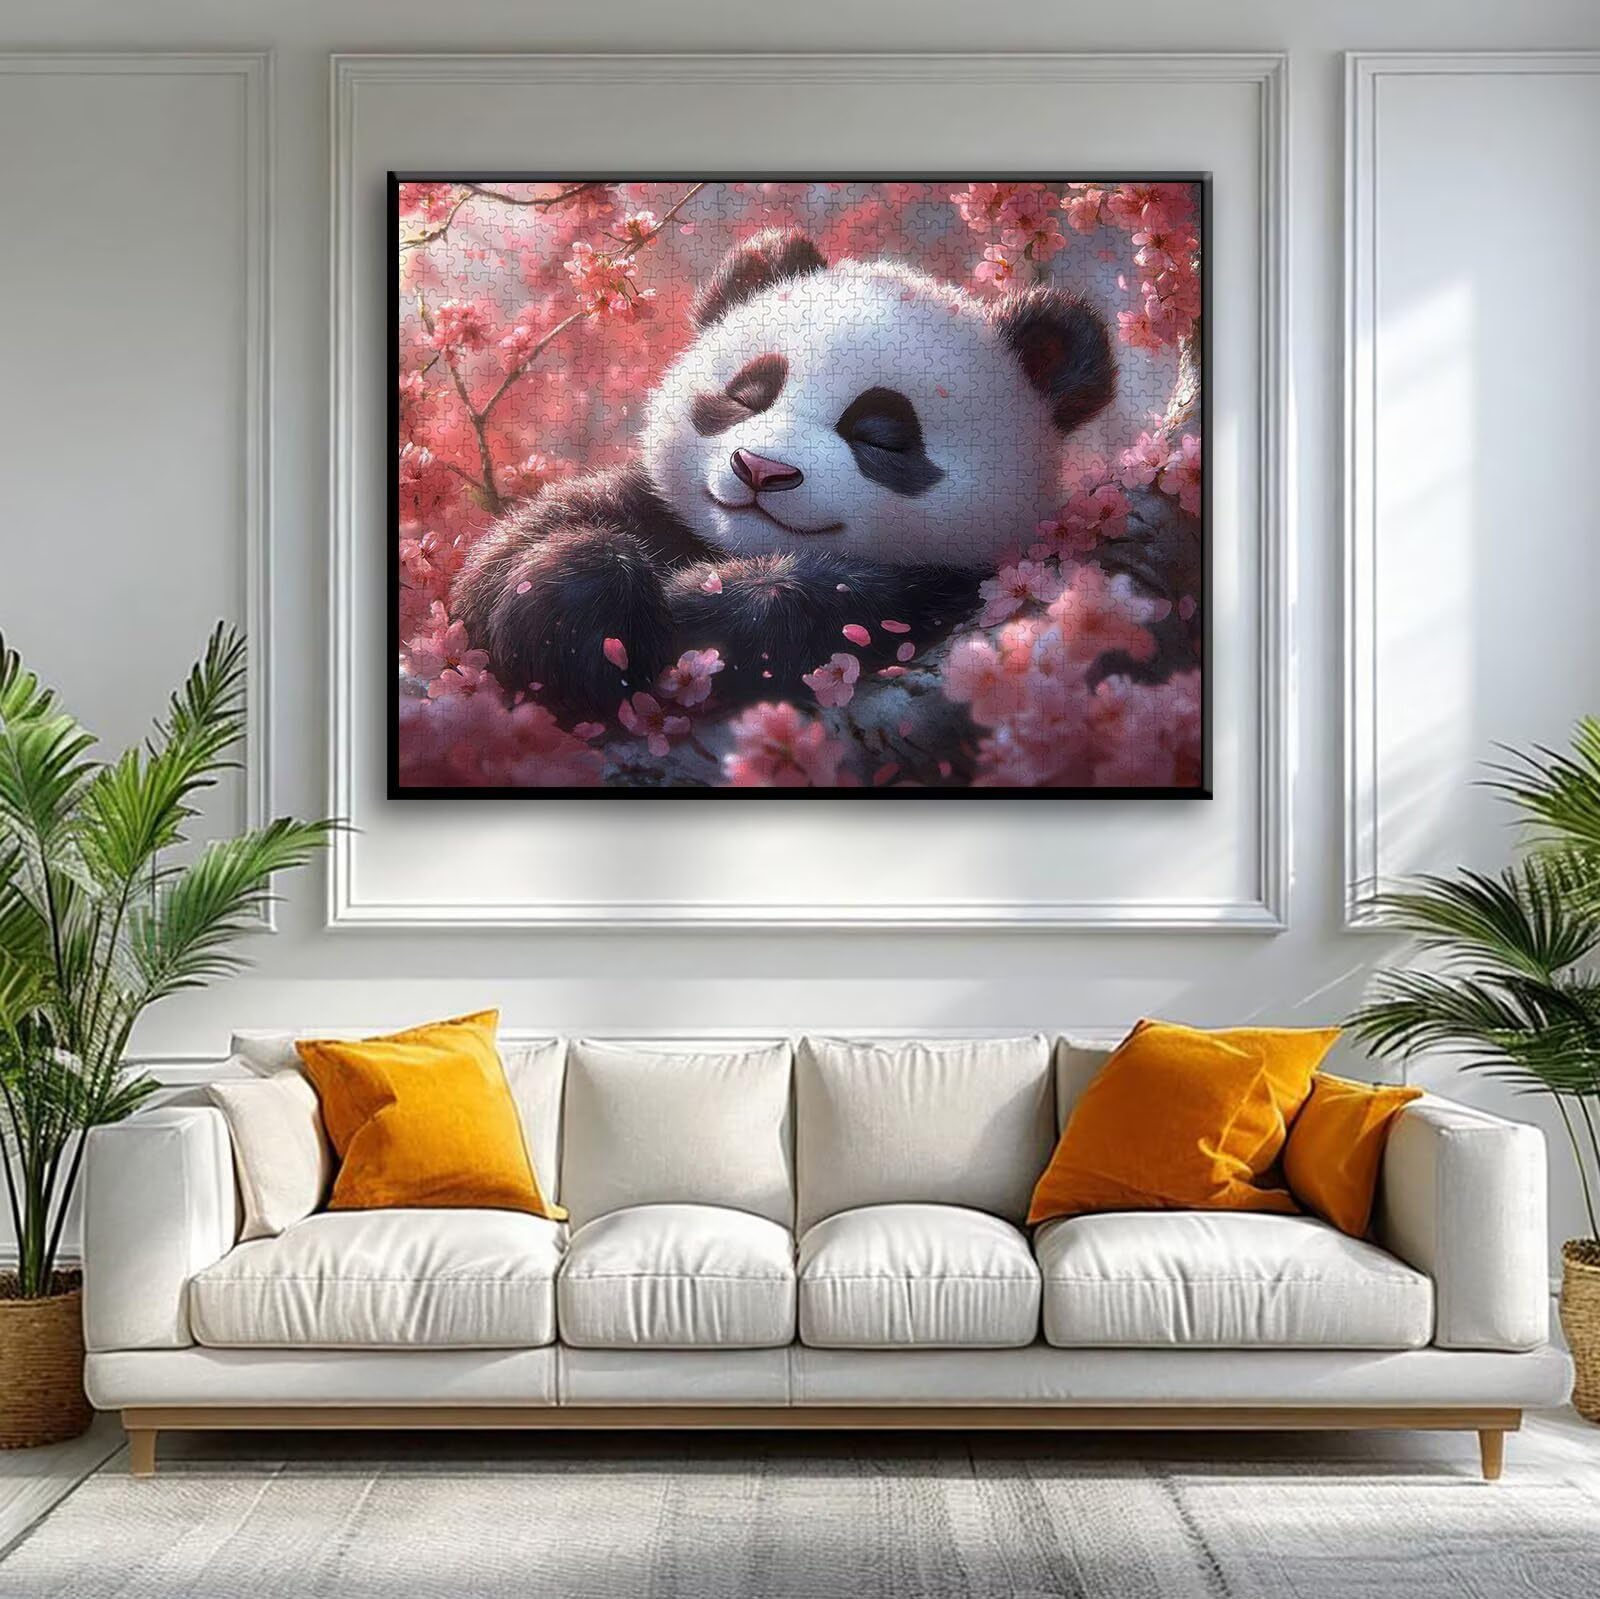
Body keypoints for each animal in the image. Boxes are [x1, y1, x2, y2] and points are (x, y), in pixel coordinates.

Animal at [452, 227, 1117, 720]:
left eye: (879, 436)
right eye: (749, 395)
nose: (762, 469)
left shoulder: (947, 590)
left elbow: (813, 617)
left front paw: (685, 615)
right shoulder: (643, 502)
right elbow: (497, 569)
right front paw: (569, 612)